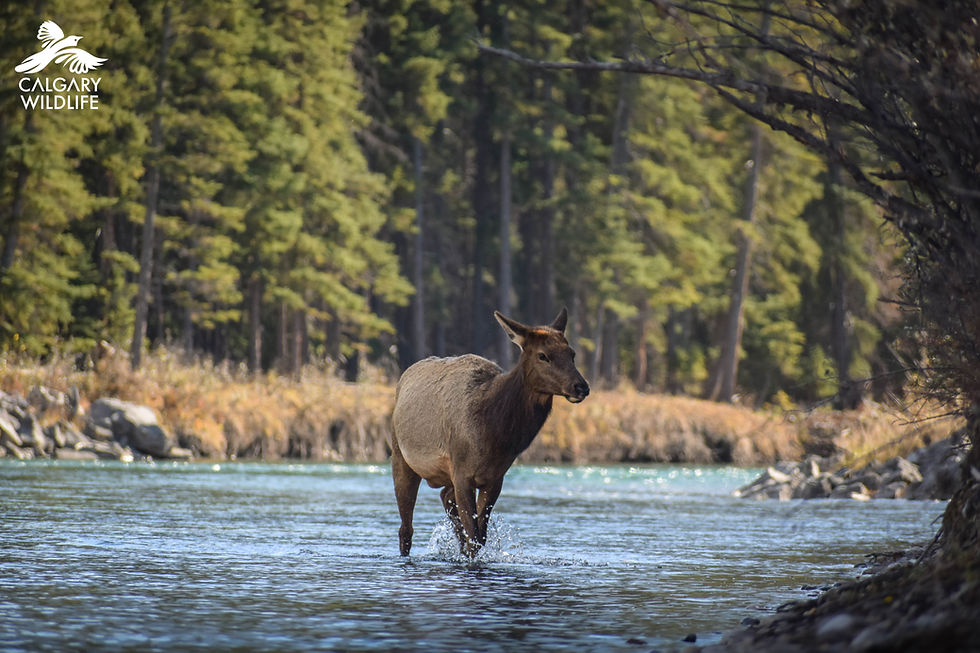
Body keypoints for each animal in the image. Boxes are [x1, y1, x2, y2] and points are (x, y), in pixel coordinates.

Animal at [390, 308, 589, 558]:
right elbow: (474, 537)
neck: (494, 434)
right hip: (401, 457)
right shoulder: (462, 473)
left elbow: (479, 536)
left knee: (445, 499)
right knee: (405, 529)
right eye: (543, 355)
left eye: (571, 353)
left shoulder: (495, 478)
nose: (581, 387)